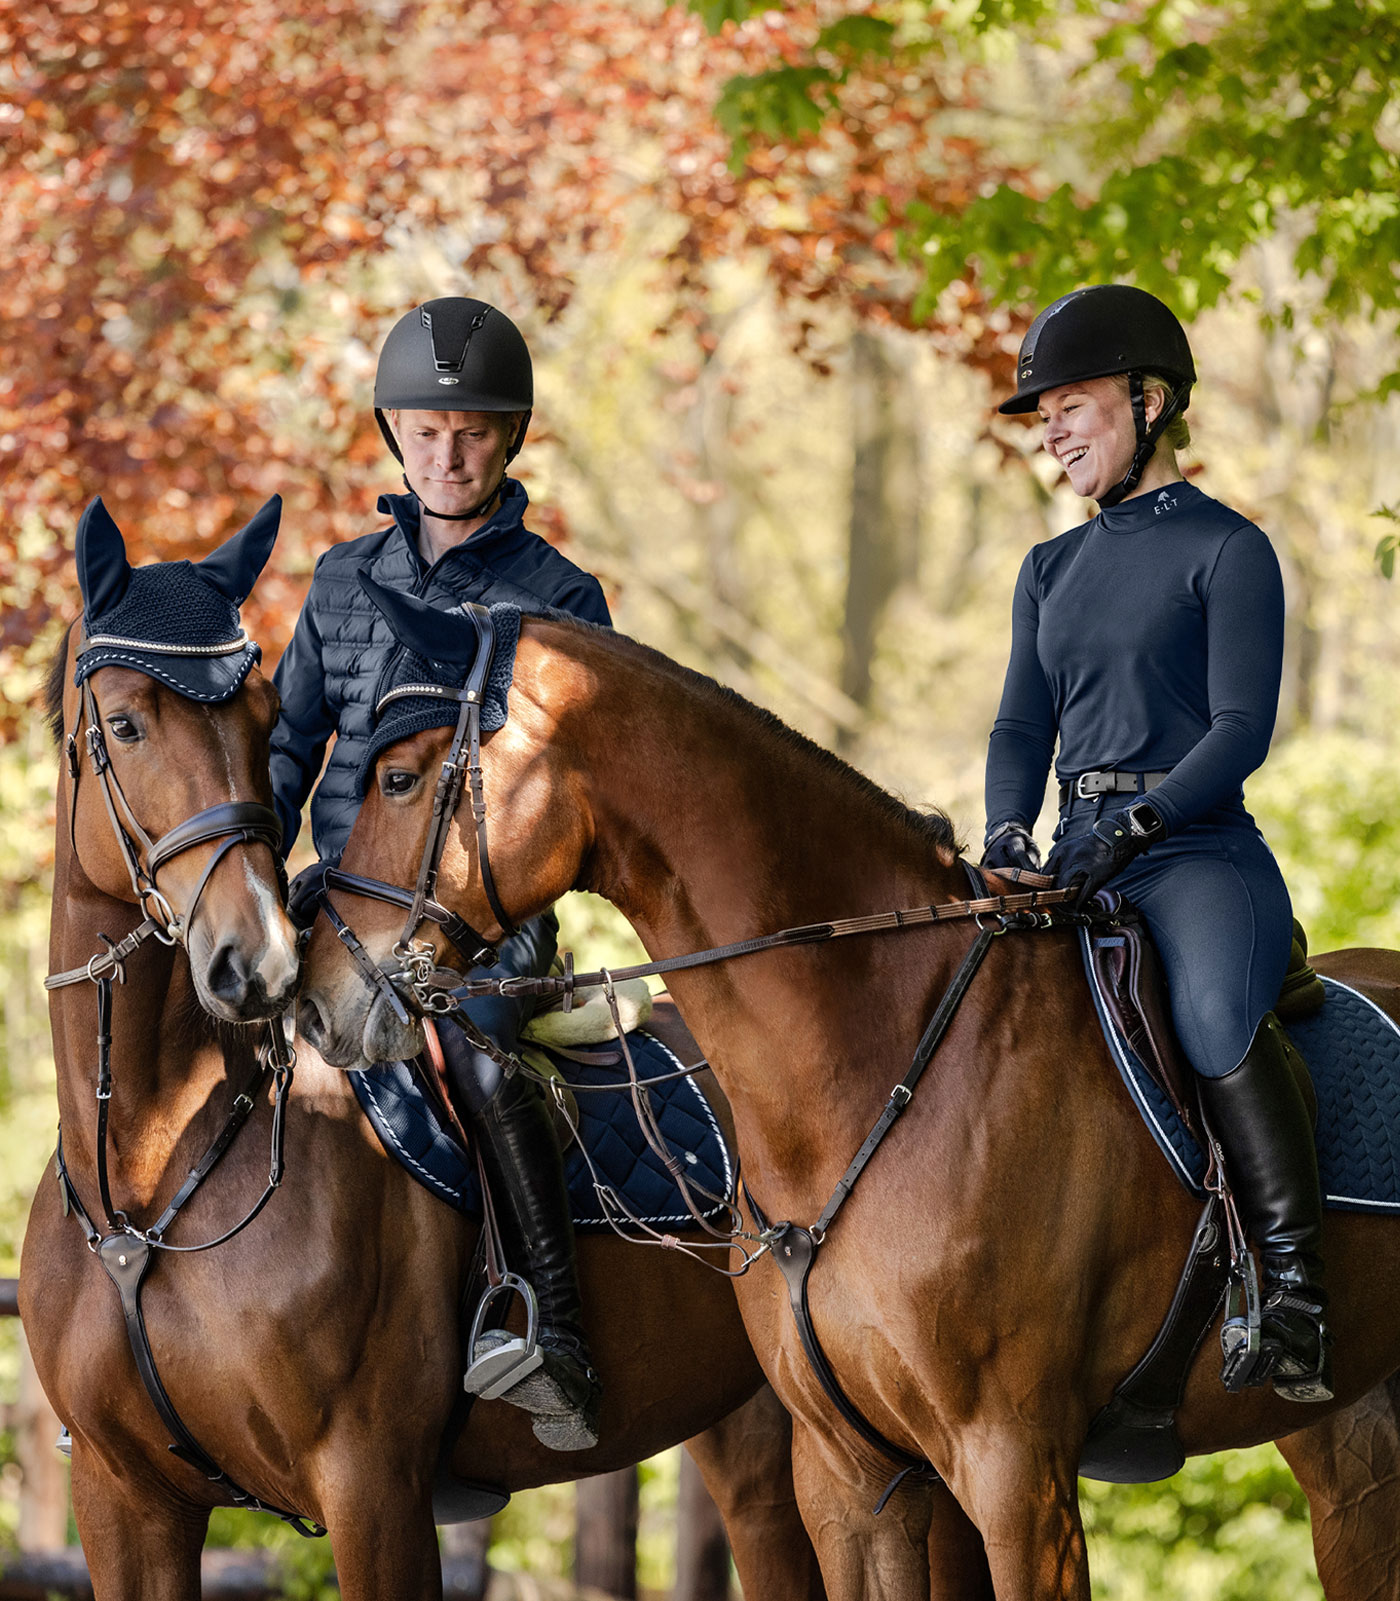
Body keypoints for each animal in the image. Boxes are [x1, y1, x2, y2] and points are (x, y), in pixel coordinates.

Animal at [16, 509, 816, 1601]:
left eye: (262, 718)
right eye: (129, 724)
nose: (259, 962)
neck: (151, 1181)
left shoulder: (372, 1488)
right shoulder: (121, 1502)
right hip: (749, 1430)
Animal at [299, 601, 1396, 1601]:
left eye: (398, 777)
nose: (318, 999)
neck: (871, 1062)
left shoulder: (1017, 1471)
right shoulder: (850, 1475)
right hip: (1346, 1436)